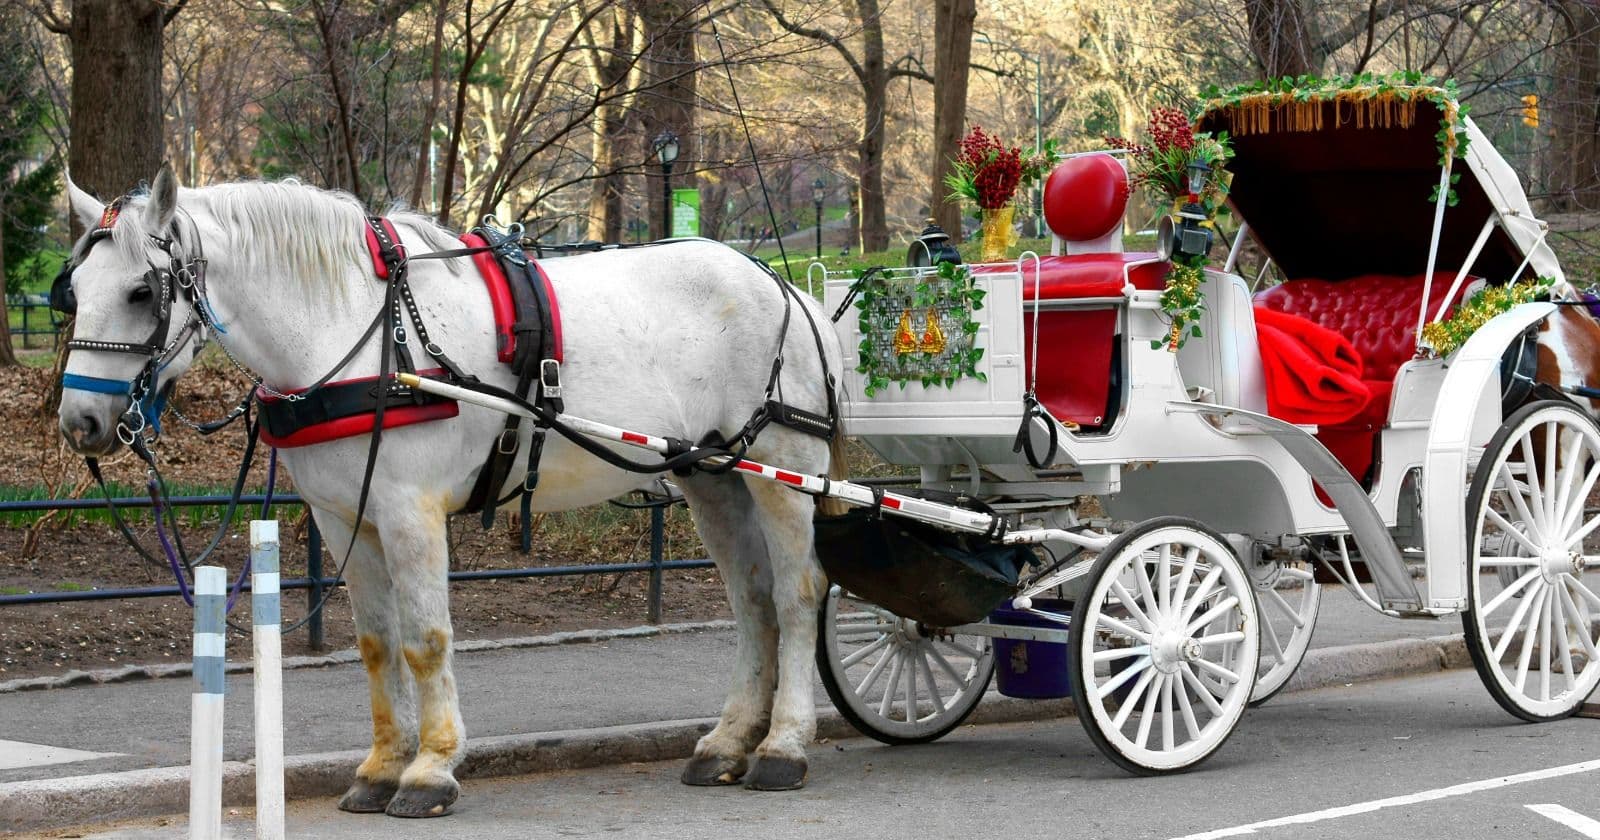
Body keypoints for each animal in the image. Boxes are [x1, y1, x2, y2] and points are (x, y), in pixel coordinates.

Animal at [57, 163, 846, 817]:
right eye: (74, 293)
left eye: (140, 292)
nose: (80, 422)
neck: (356, 328)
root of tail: (781, 284)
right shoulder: (345, 518)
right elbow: (378, 643)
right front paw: (382, 767)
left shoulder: (411, 512)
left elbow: (426, 639)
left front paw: (431, 768)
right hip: (713, 477)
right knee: (752, 601)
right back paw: (730, 741)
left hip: (781, 467)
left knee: (797, 593)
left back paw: (783, 746)